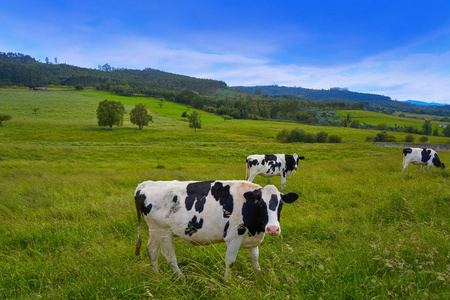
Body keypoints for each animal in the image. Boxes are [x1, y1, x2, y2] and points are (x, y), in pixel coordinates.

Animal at [133, 179, 298, 278]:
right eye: (261, 204)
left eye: (281, 205)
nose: (273, 229)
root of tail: (145, 185)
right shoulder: (233, 237)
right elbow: (230, 261)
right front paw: (227, 281)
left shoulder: (251, 236)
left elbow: (255, 256)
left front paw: (259, 274)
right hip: (164, 231)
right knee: (169, 256)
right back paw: (181, 277)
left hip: (154, 230)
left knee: (152, 250)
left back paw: (156, 275)